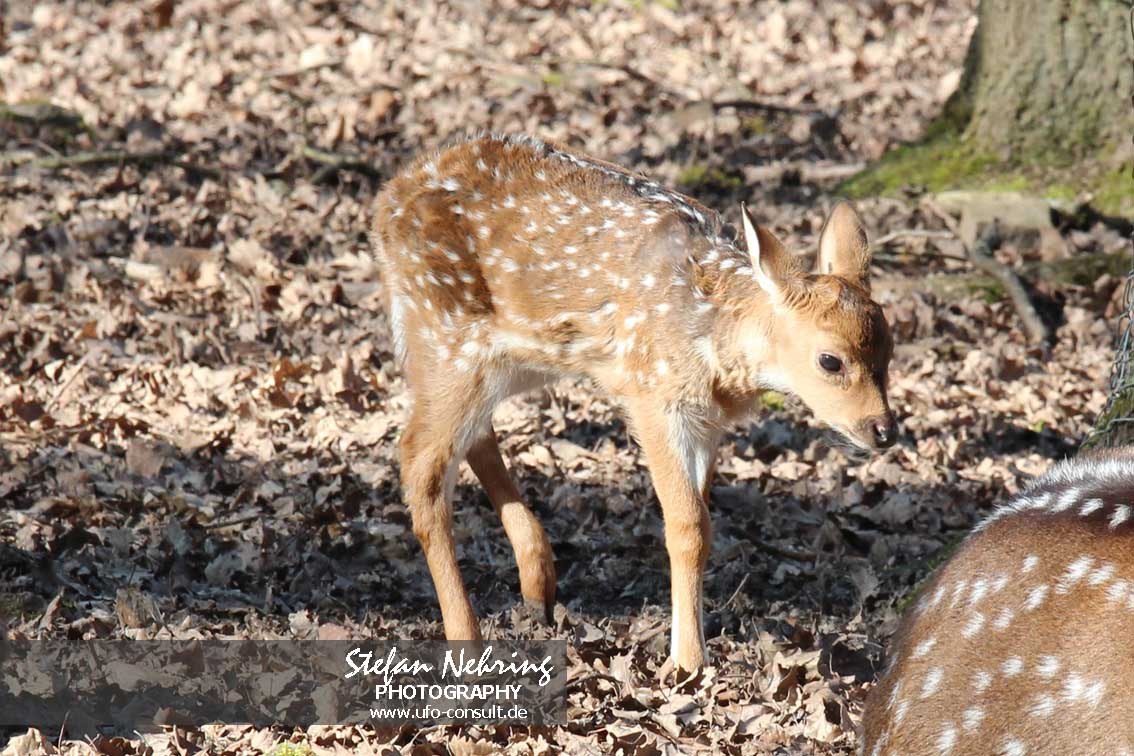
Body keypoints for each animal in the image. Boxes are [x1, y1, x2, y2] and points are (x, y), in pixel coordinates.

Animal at [371, 133, 897, 673]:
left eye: (890, 351)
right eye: (830, 360)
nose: (883, 429)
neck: (713, 340)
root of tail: (388, 199)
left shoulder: (705, 422)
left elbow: (703, 522)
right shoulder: (653, 393)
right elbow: (688, 526)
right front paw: (688, 662)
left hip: (507, 359)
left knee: (474, 435)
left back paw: (538, 586)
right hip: (444, 335)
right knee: (420, 461)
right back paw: (468, 640)